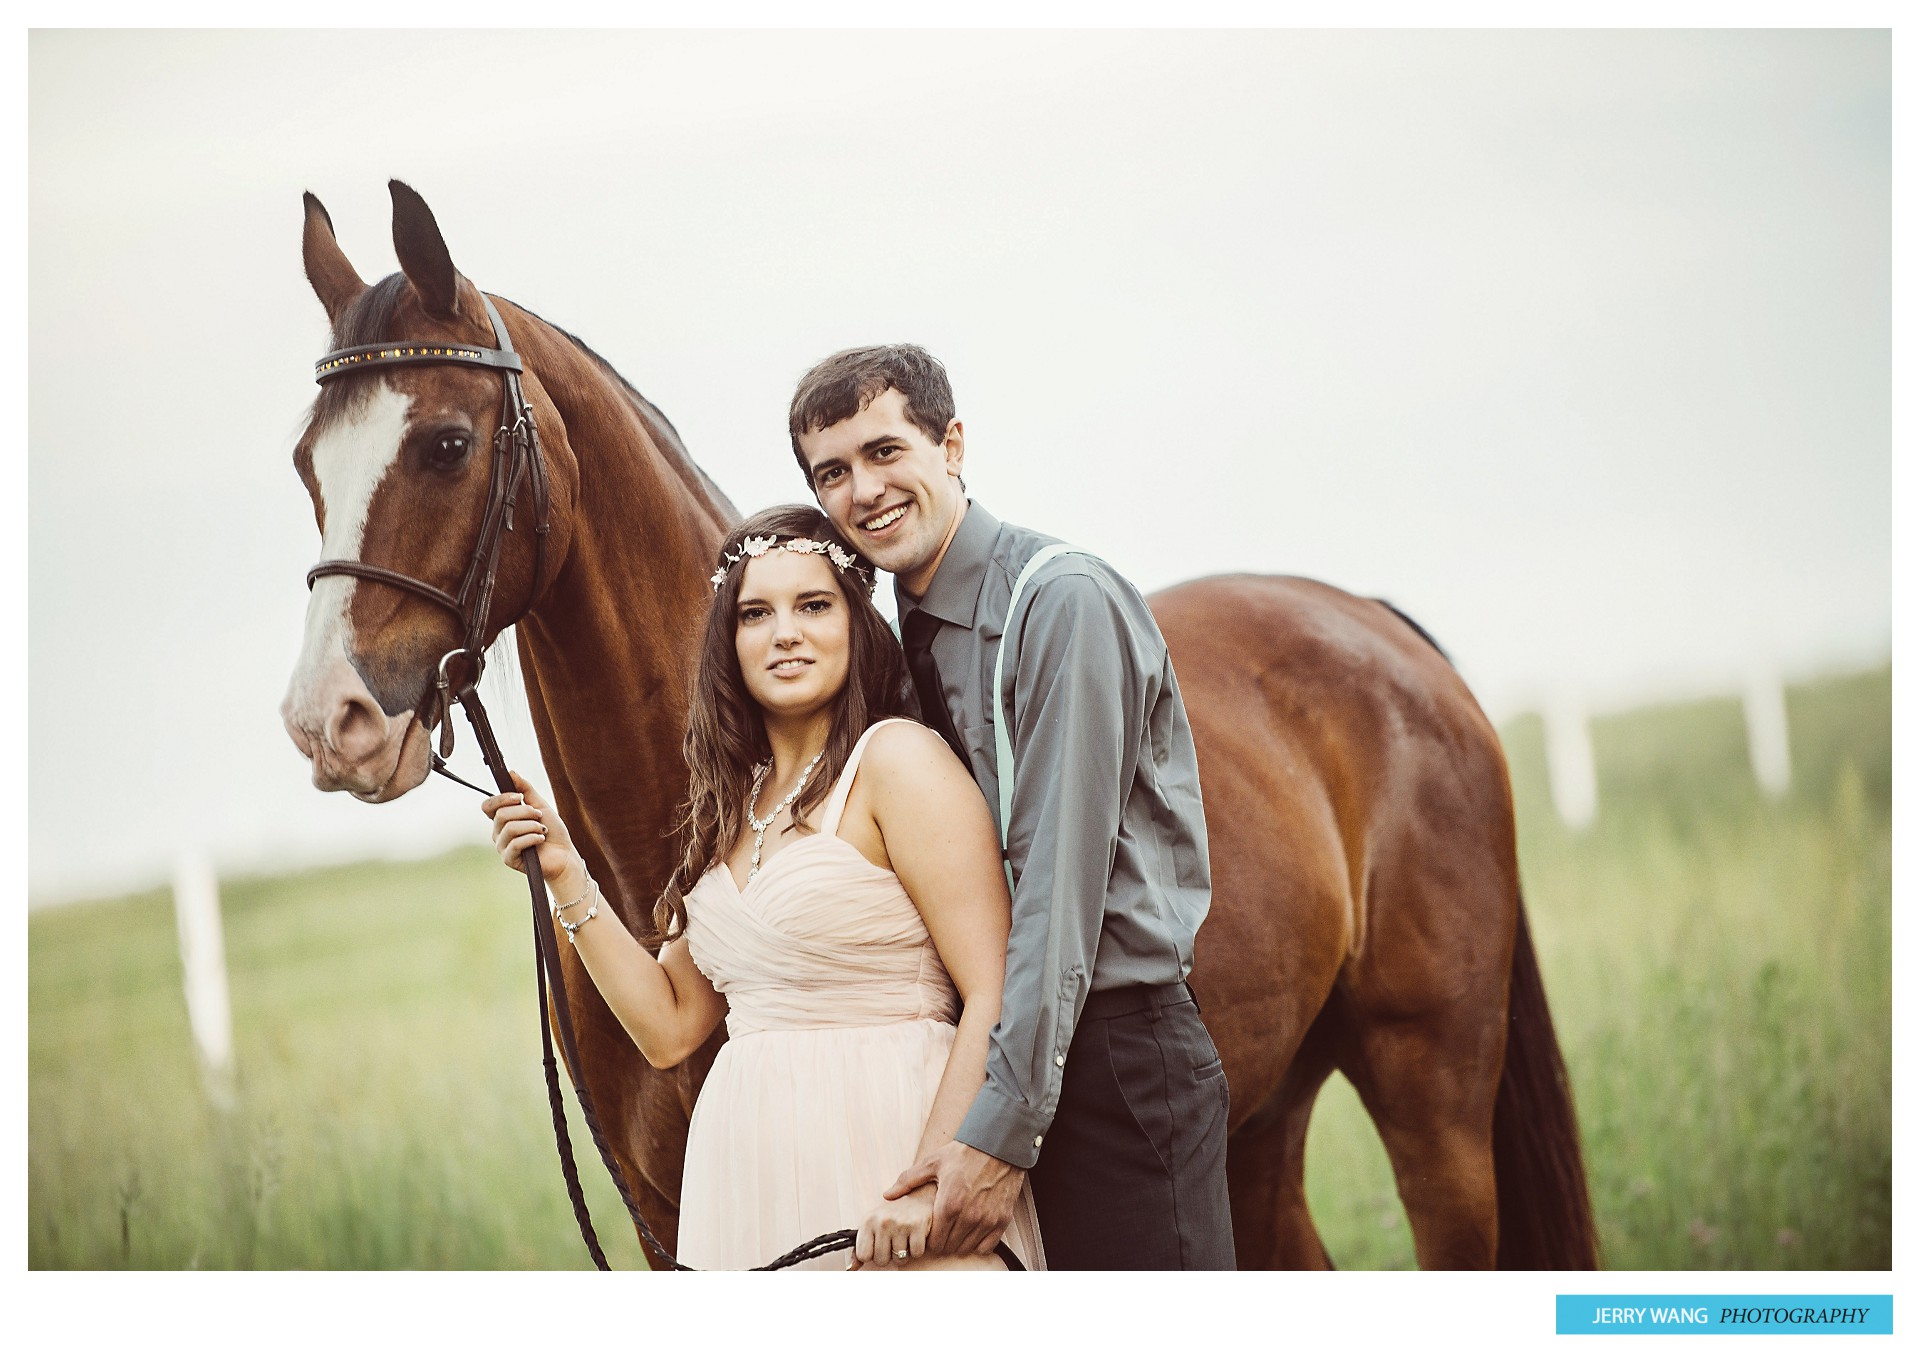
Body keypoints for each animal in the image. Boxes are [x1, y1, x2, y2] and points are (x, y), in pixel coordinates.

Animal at [278, 184, 1597, 1274]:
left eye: (446, 443)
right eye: (304, 462)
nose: (326, 721)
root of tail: (1369, 623)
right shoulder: (672, 1236)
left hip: (1431, 1087)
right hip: (1261, 1117)